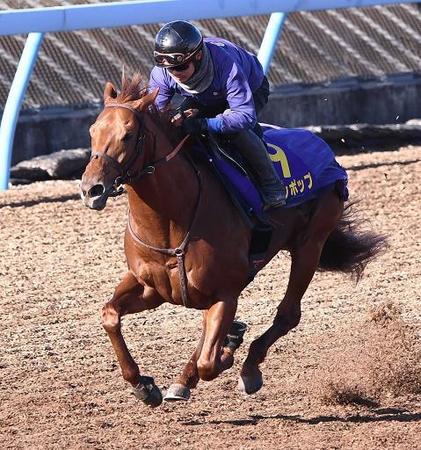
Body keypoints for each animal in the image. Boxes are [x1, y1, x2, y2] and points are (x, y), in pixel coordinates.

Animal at [80, 74, 386, 408]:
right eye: (93, 131)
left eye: (128, 135)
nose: (91, 189)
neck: (171, 220)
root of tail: (325, 150)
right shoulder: (151, 287)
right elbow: (110, 315)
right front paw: (143, 385)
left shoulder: (226, 293)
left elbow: (209, 362)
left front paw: (228, 351)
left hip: (310, 245)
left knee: (288, 314)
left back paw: (247, 367)